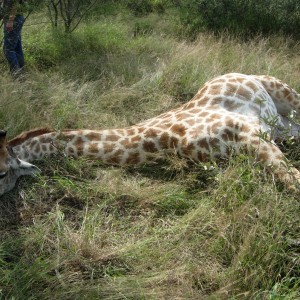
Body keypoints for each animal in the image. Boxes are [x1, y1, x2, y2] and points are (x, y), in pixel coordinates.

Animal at [1, 72, 300, 195]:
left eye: (2, 173)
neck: (167, 140)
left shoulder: (251, 134)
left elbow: (293, 180)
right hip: (283, 126)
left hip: (285, 95)